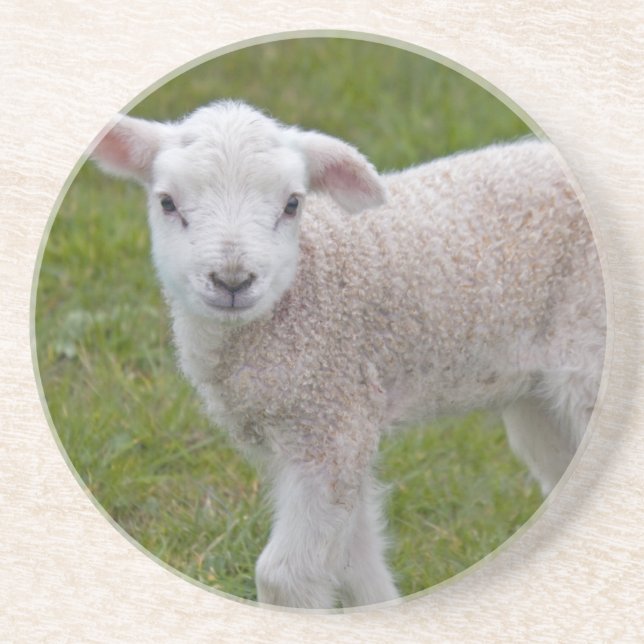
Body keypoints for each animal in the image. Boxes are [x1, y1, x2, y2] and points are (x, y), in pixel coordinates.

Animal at [91, 100, 605, 609]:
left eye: (293, 204)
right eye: (167, 202)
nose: (232, 280)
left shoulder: (330, 420)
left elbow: (285, 576)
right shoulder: (324, 428)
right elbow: (354, 559)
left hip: (589, 354)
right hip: (537, 396)